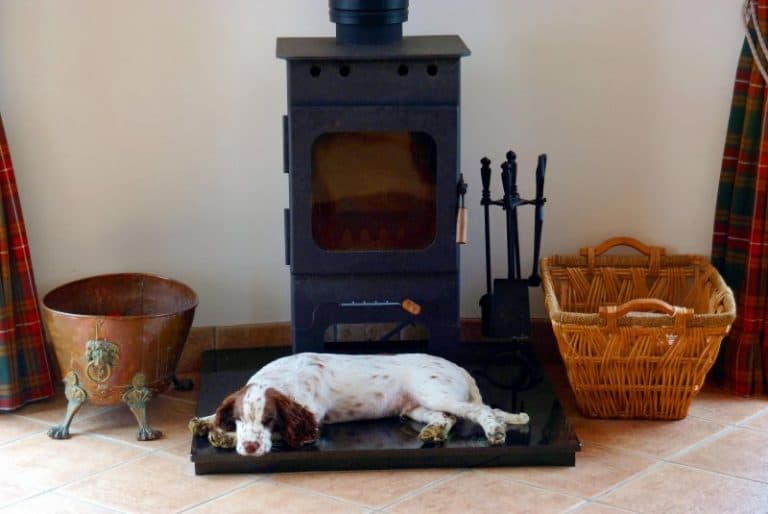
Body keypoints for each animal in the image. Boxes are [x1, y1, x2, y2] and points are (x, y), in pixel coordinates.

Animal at [189, 350, 532, 454]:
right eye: (240, 418)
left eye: (269, 420)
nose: (248, 449)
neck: (282, 378)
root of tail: (459, 367)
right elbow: (216, 415)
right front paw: (207, 422)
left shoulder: (312, 422)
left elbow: (284, 436)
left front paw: (222, 436)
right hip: (416, 407)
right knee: (448, 418)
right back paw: (434, 432)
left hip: (435, 392)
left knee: (482, 410)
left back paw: (495, 432)